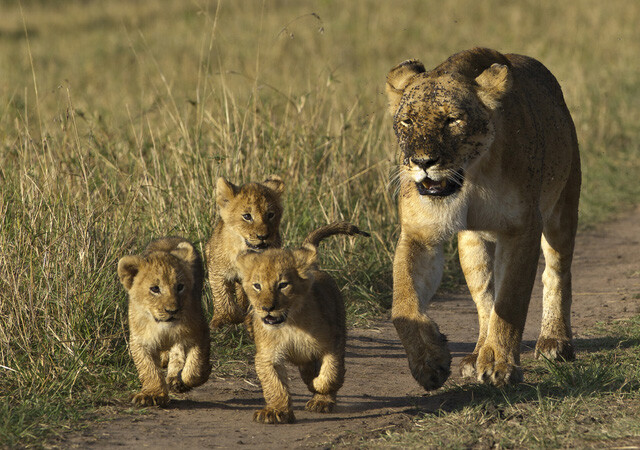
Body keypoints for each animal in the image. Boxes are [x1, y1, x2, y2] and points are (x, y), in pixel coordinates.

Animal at [384, 47, 580, 388]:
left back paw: (554, 341)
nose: (422, 162)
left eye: (452, 120)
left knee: (555, 272)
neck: (471, 176)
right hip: (472, 241)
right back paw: (476, 355)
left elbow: (510, 301)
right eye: (407, 121)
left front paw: (501, 365)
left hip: (562, 207)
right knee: (484, 298)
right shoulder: (420, 233)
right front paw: (429, 361)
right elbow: (404, 302)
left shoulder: (522, 228)